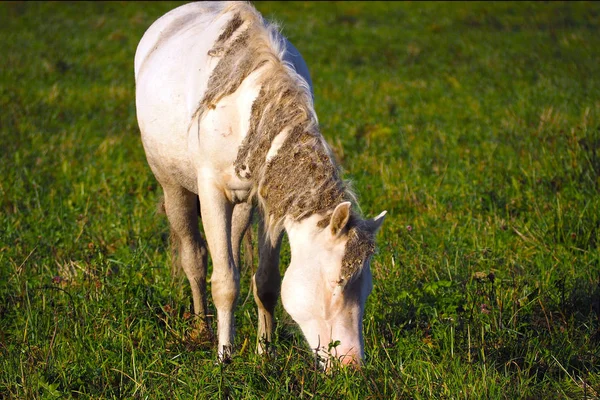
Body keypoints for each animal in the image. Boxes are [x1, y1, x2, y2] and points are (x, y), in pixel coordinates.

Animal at [134, 0, 386, 368]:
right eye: (335, 282)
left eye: (365, 288)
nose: (352, 365)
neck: (248, 109)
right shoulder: (211, 193)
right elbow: (223, 281)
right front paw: (224, 357)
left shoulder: (271, 206)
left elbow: (266, 282)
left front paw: (265, 353)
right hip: (172, 187)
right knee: (194, 258)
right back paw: (202, 327)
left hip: (242, 206)